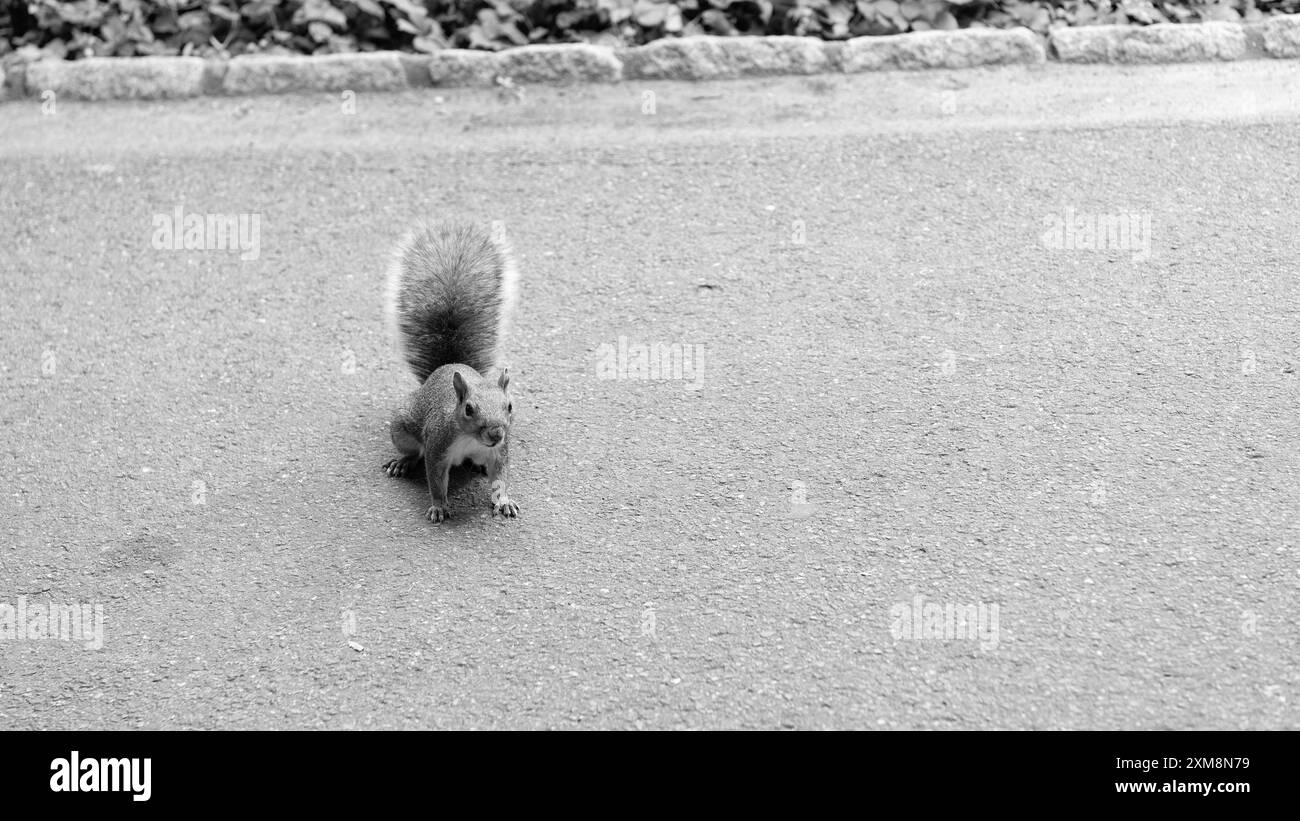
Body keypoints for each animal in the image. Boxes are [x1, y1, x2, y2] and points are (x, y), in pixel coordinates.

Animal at [379, 220, 520, 522]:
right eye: (468, 409)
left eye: (510, 406)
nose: (496, 433)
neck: (471, 441)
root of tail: (447, 366)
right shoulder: (437, 446)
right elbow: (435, 478)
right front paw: (439, 506)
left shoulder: (499, 453)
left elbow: (501, 477)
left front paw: (504, 500)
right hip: (402, 427)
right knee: (413, 451)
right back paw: (402, 462)